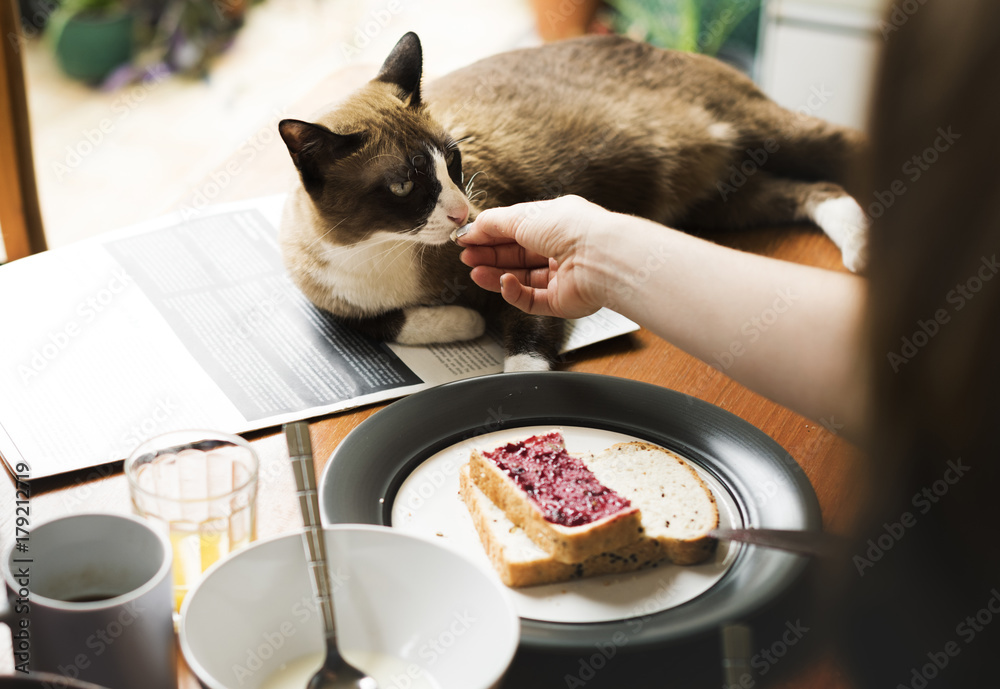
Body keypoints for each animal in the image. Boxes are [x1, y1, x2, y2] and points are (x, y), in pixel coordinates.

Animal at [276, 32, 868, 370]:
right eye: (403, 186)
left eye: (453, 160)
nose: (463, 213)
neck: (381, 251)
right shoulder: (328, 305)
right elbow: (376, 323)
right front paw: (461, 322)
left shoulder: (525, 279)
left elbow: (526, 356)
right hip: (720, 205)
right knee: (815, 191)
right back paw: (859, 244)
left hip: (773, 133)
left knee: (843, 151)